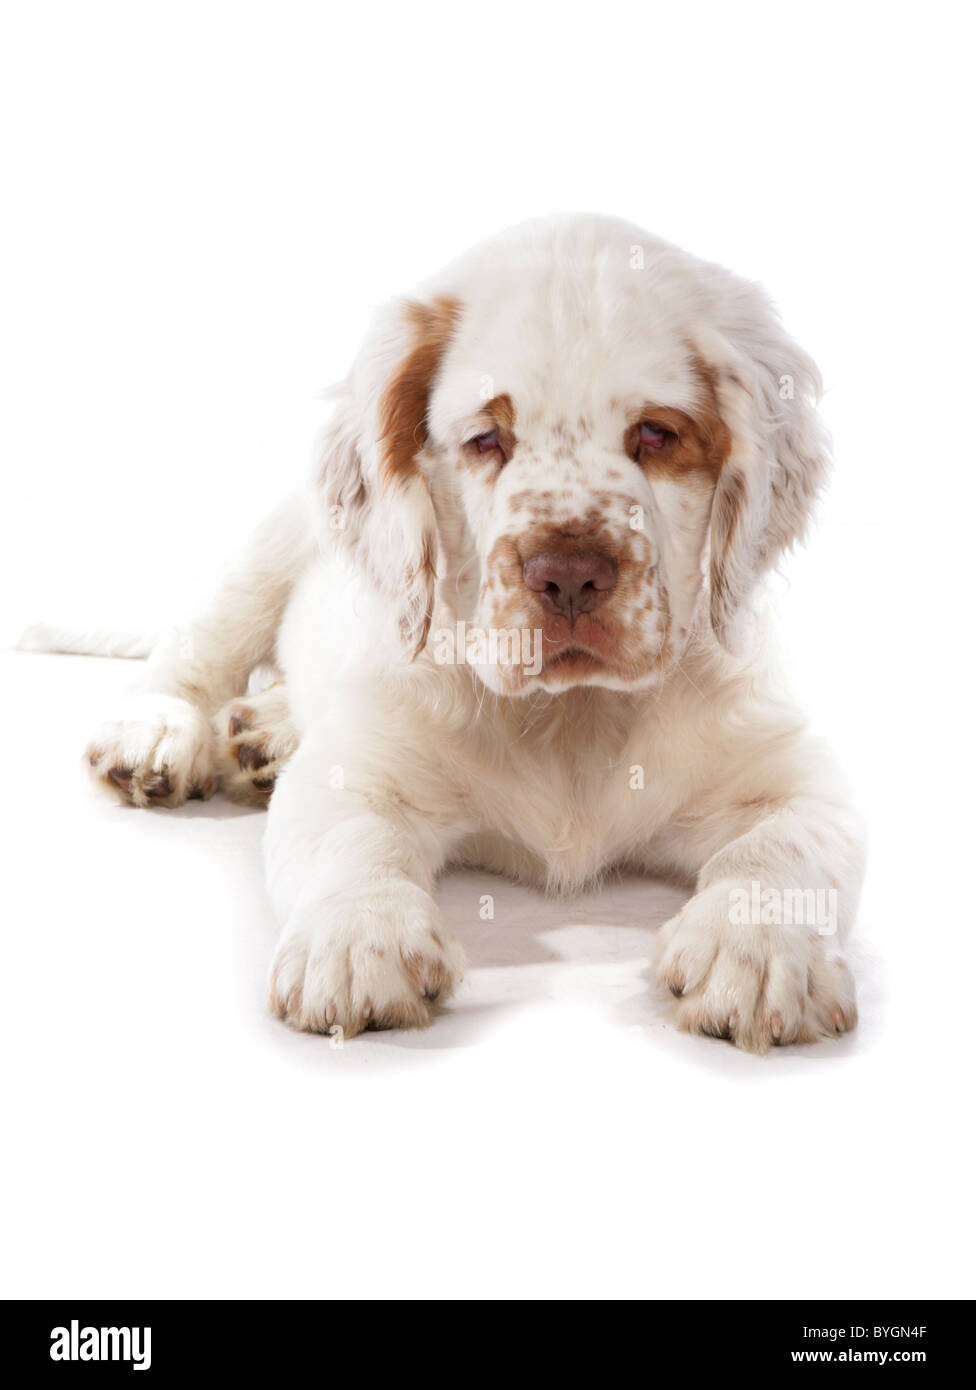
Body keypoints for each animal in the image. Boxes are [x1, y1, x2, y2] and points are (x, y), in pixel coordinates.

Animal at [80, 211, 867, 1045]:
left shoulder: (790, 770)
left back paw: (264, 733)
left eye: (656, 435)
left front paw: (759, 951)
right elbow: (353, 837)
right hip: (274, 541)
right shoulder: (360, 764)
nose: (569, 575)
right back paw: (155, 735)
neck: (572, 719)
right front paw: (357, 940)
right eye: (487, 440)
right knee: (198, 646)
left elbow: (785, 845)